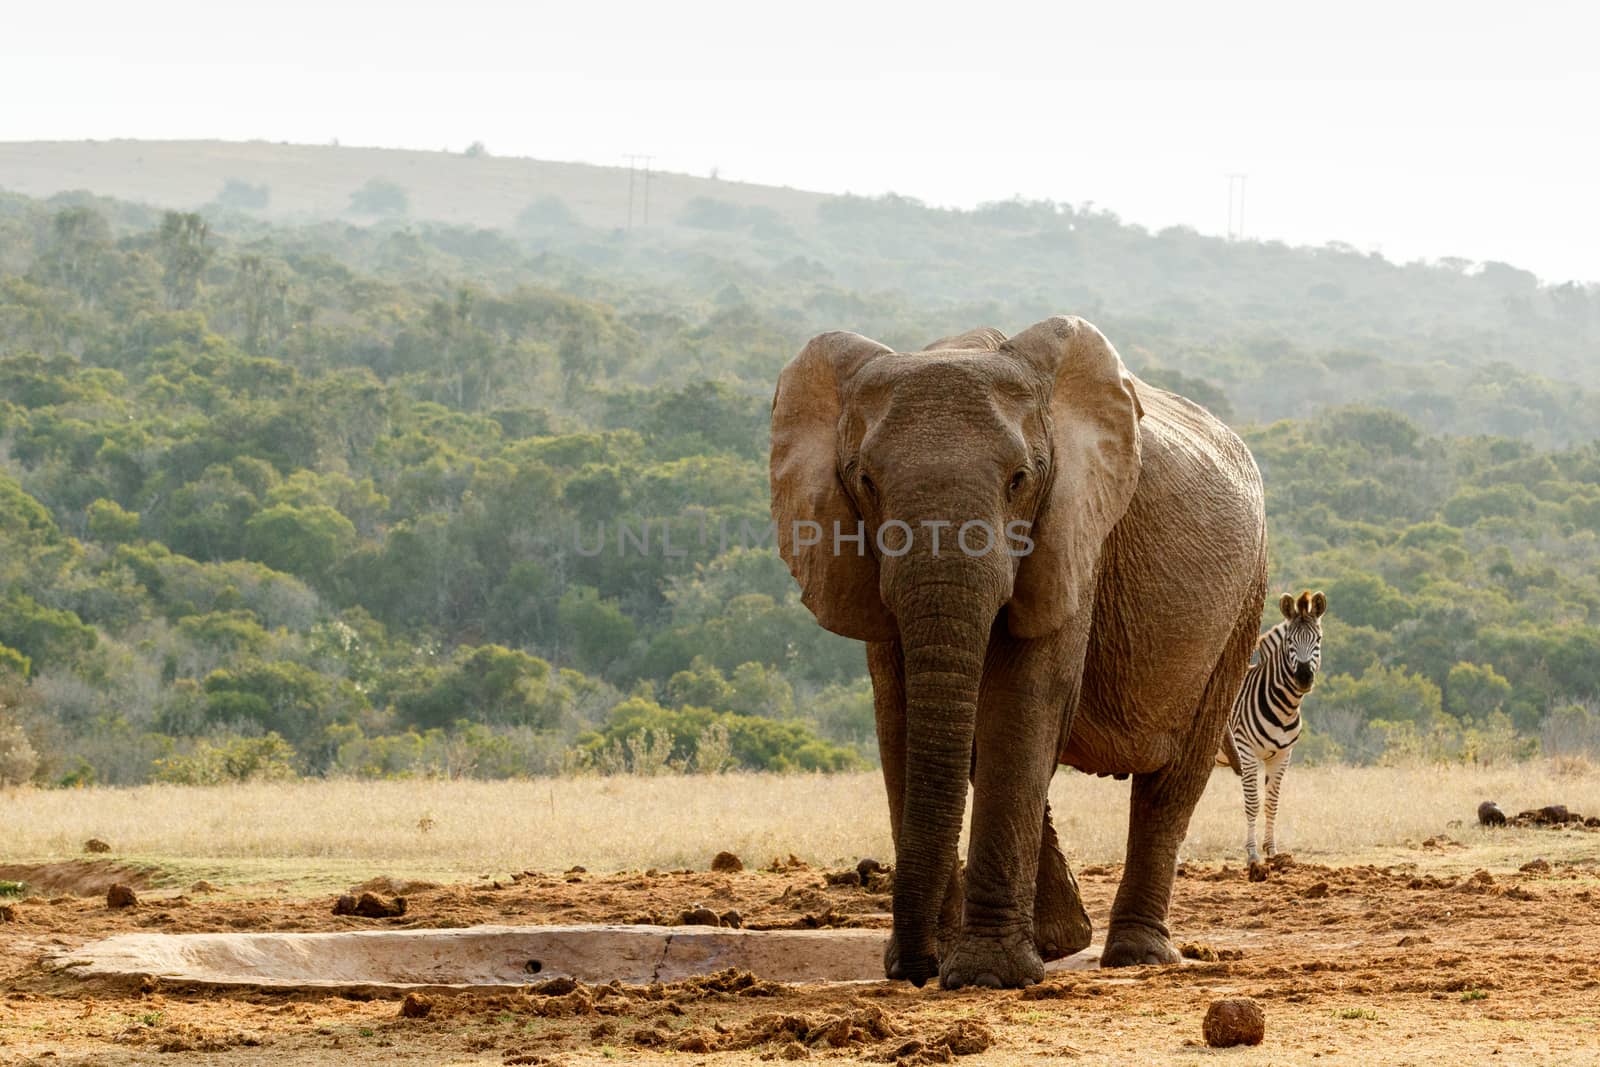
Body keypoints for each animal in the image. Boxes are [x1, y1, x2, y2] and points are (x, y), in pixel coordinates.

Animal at [768, 316, 1267, 991]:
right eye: (865, 482)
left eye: (1020, 481)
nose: (916, 970)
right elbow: (901, 716)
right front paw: (942, 961)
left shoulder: (1075, 530)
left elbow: (1021, 703)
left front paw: (985, 976)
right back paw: (1062, 942)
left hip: (1244, 601)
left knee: (1173, 780)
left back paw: (1135, 955)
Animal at [1216, 591, 1331, 870]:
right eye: (1290, 641)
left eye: (1318, 639)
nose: (1303, 677)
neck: (1285, 707)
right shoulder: (1246, 751)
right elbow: (1252, 803)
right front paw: (1252, 854)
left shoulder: (1282, 755)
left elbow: (1272, 803)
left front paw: (1273, 852)